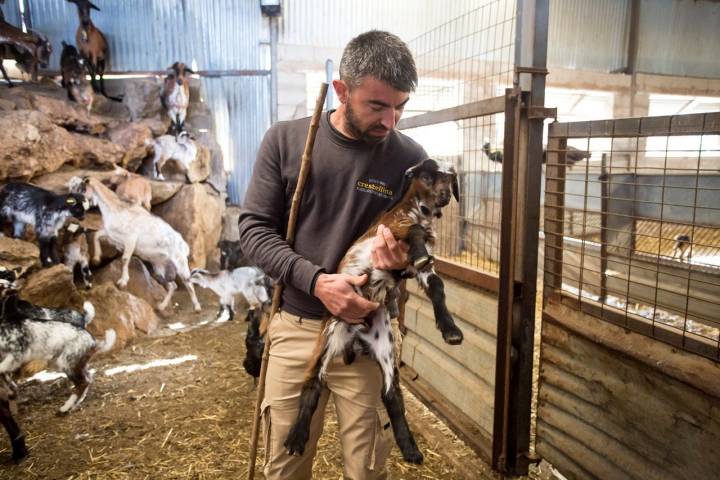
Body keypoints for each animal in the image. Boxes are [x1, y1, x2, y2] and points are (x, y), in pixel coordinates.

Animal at [80, 176, 201, 312]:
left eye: (82, 189)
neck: (116, 209)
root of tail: (184, 245)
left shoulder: (130, 239)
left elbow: (125, 259)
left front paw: (122, 282)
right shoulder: (112, 236)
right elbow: (96, 236)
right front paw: (96, 259)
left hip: (180, 264)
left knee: (188, 282)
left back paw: (197, 307)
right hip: (159, 266)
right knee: (172, 285)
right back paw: (161, 306)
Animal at [282, 158, 462, 464]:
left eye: (450, 178)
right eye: (427, 176)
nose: (444, 197)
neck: (420, 212)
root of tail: (356, 335)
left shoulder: (418, 269)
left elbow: (437, 287)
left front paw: (450, 330)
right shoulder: (392, 229)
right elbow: (414, 233)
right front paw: (419, 250)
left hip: (385, 345)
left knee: (391, 394)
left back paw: (410, 448)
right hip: (329, 335)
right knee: (312, 384)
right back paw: (296, 438)